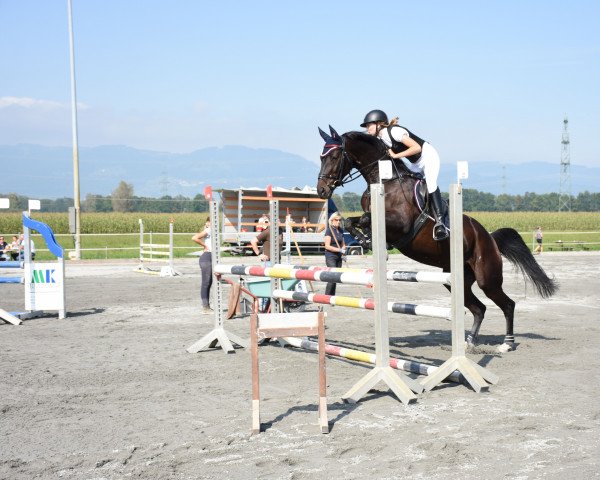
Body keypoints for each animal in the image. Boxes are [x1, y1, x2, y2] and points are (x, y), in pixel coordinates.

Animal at [316, 127, 556, 352]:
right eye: (321, 157)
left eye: (334, 156)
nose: (322, 190)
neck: (385, 180)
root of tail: (490, 238)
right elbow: (351, 221)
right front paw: (364, 239)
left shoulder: (400, 224)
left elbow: (366, 218)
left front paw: (367, 240)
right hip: (455, 279)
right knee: (479, 308)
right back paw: (469, 343)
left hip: (487, 279)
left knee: (507, 305)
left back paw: (506, 344)